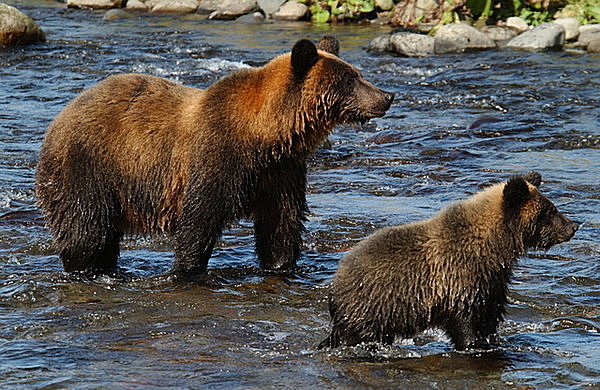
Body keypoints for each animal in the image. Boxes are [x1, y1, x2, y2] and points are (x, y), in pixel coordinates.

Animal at [37, 36, 394, 274]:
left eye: (358, 73)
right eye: (350, 79)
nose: (387, 96)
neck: (265, 135)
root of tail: (60, 117)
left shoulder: (281, 171)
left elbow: (282, 223)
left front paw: (281, 265)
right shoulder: (218, 156)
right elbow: (200, 218)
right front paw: (187, 269)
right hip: (88, 167)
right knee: (86, 231)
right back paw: (87, 269)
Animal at [322, 173, 580, 350]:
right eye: (550, 211)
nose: (573, 226)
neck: (494, 246)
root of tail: (336, 280)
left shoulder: (492, 281)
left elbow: (490, 315)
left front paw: (492, 339)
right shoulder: (457, 276)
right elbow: (464, 319)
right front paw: (473, 343)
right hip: (372, 305)